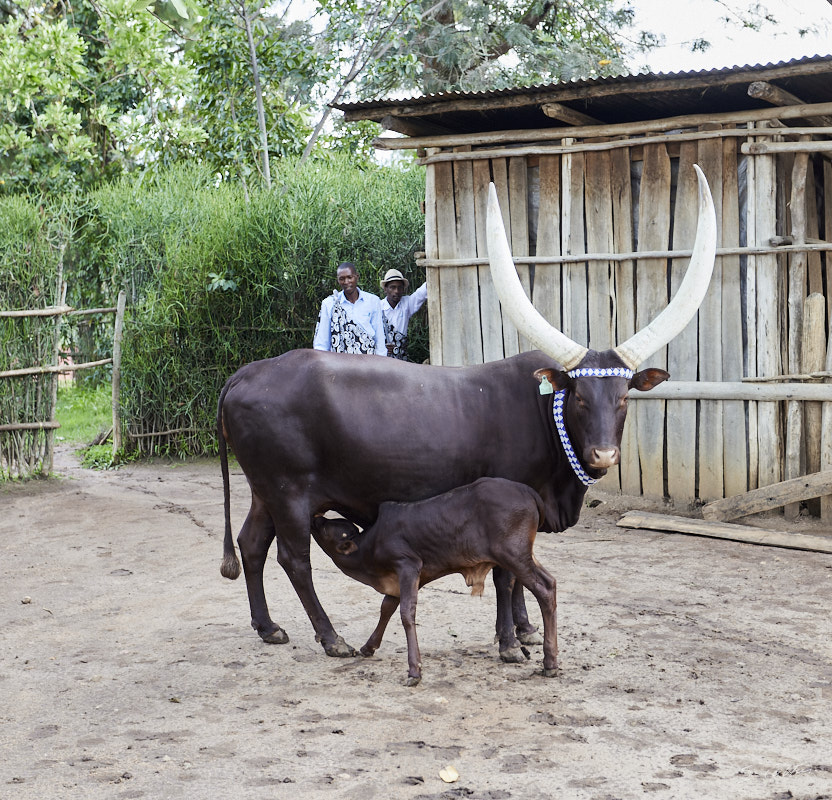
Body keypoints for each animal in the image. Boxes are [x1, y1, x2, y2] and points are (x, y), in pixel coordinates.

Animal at [312, 478, 560, 684]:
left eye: (326, 528)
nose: (316, 518)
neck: (369, 547)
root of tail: (526, 490)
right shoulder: (404, 578)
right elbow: (387, 607)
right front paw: (368, 646)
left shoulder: (408, 565)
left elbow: (406, 613)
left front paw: (414, 670)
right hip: (523, 555)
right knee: (551, 581)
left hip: (513, 555)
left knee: (544, 589)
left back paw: (550, 662)